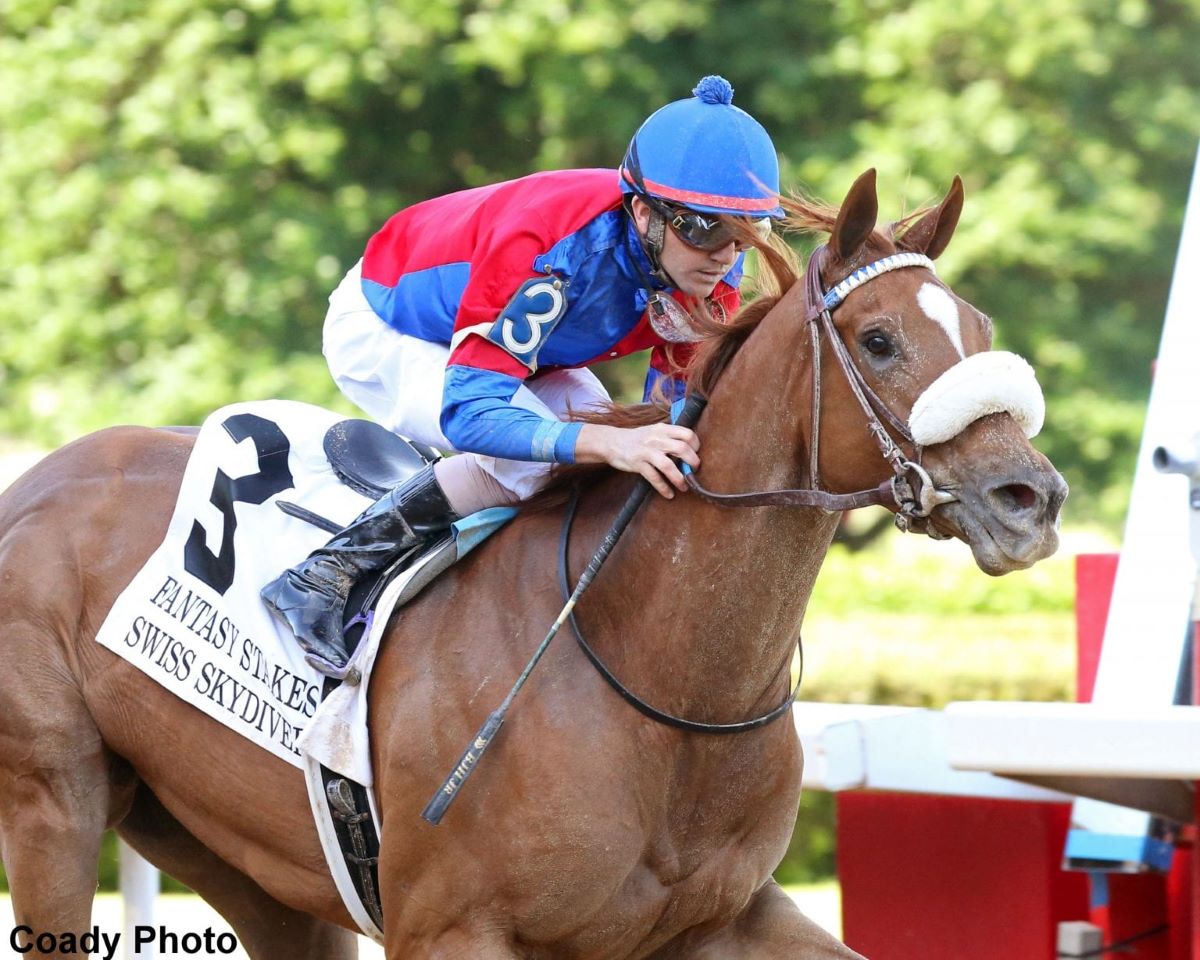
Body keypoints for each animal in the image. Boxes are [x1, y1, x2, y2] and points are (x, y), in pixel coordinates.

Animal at [0, 172, 1070, 960]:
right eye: (880, 340)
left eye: (978, 331)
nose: (1032, 498)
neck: (660, 676)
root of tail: (35, 482)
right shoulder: (452, 930)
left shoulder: (725, 918)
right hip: (54, 800)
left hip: (237, 852)